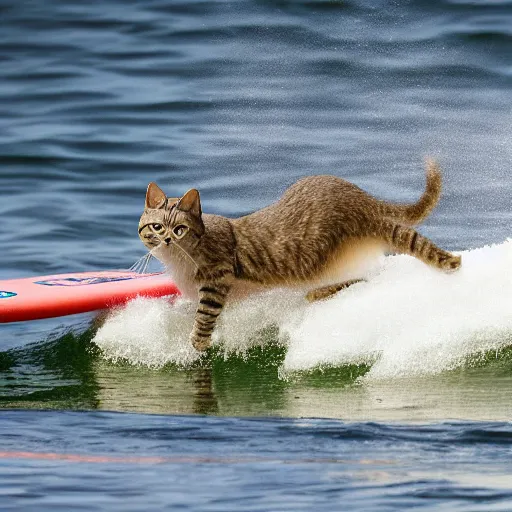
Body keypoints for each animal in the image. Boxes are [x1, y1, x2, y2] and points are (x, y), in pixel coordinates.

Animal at [139, 160, 460, 352]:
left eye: (179, 229)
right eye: (156, 227)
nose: (167, 239)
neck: (180, 262)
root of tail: (358, 196)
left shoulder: (218, 276)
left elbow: (205, 313)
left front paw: (198, 340)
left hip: (323, 254)